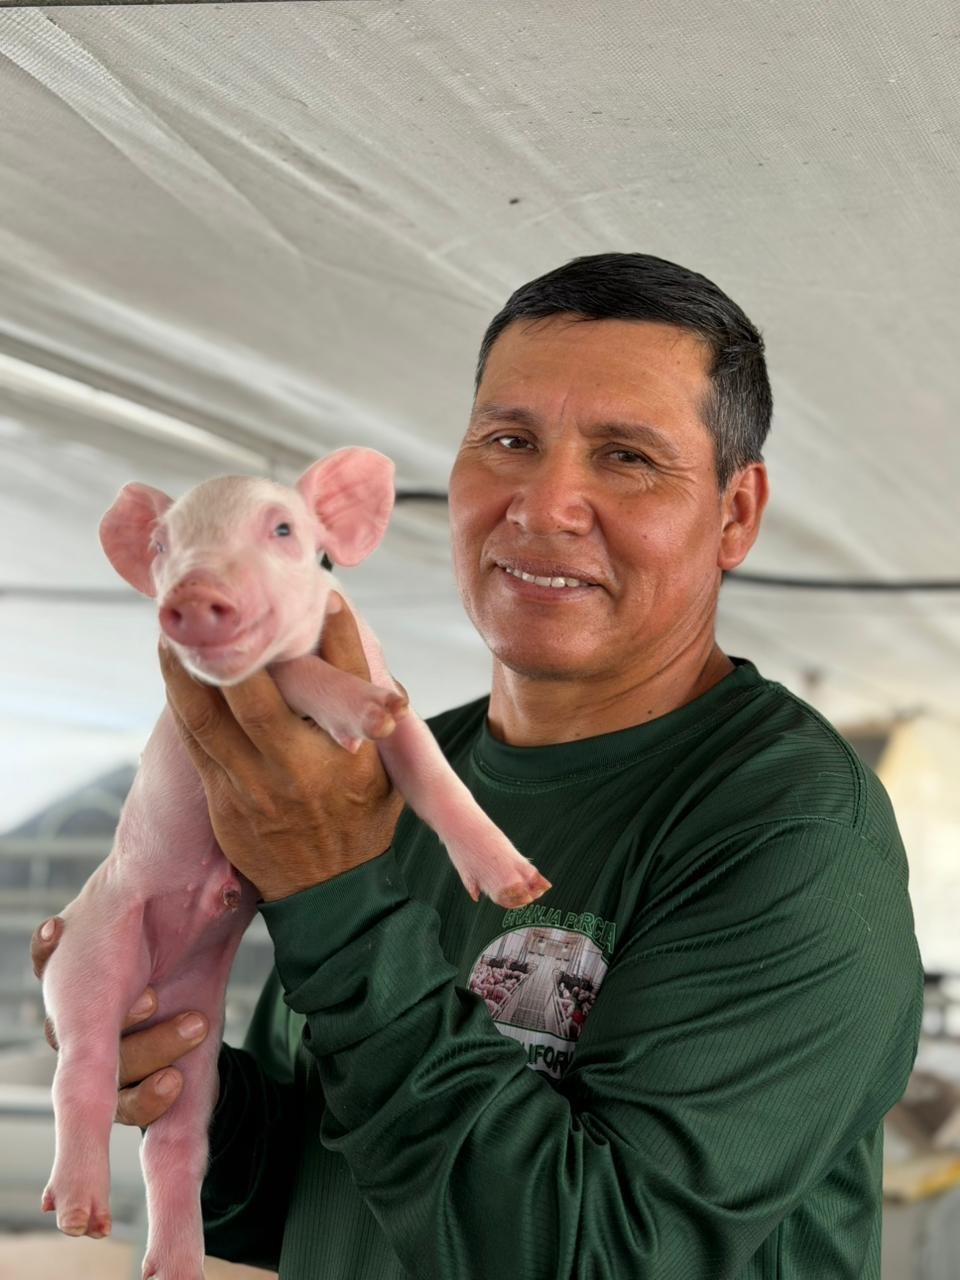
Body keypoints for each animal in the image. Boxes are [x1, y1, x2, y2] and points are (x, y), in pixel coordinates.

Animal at [40, 447, 550, 1280]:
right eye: (162, 547)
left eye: (283, 529)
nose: (192, 592)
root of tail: (159, 974)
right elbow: (288, 676)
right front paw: (363, 713)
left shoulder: (380, 670)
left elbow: (429, 766)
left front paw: (519, 883)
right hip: (88, 954)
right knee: (80, 1069)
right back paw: (80, 1214)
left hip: (196, 1032)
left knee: (176, 1145)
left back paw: (175, 1265)